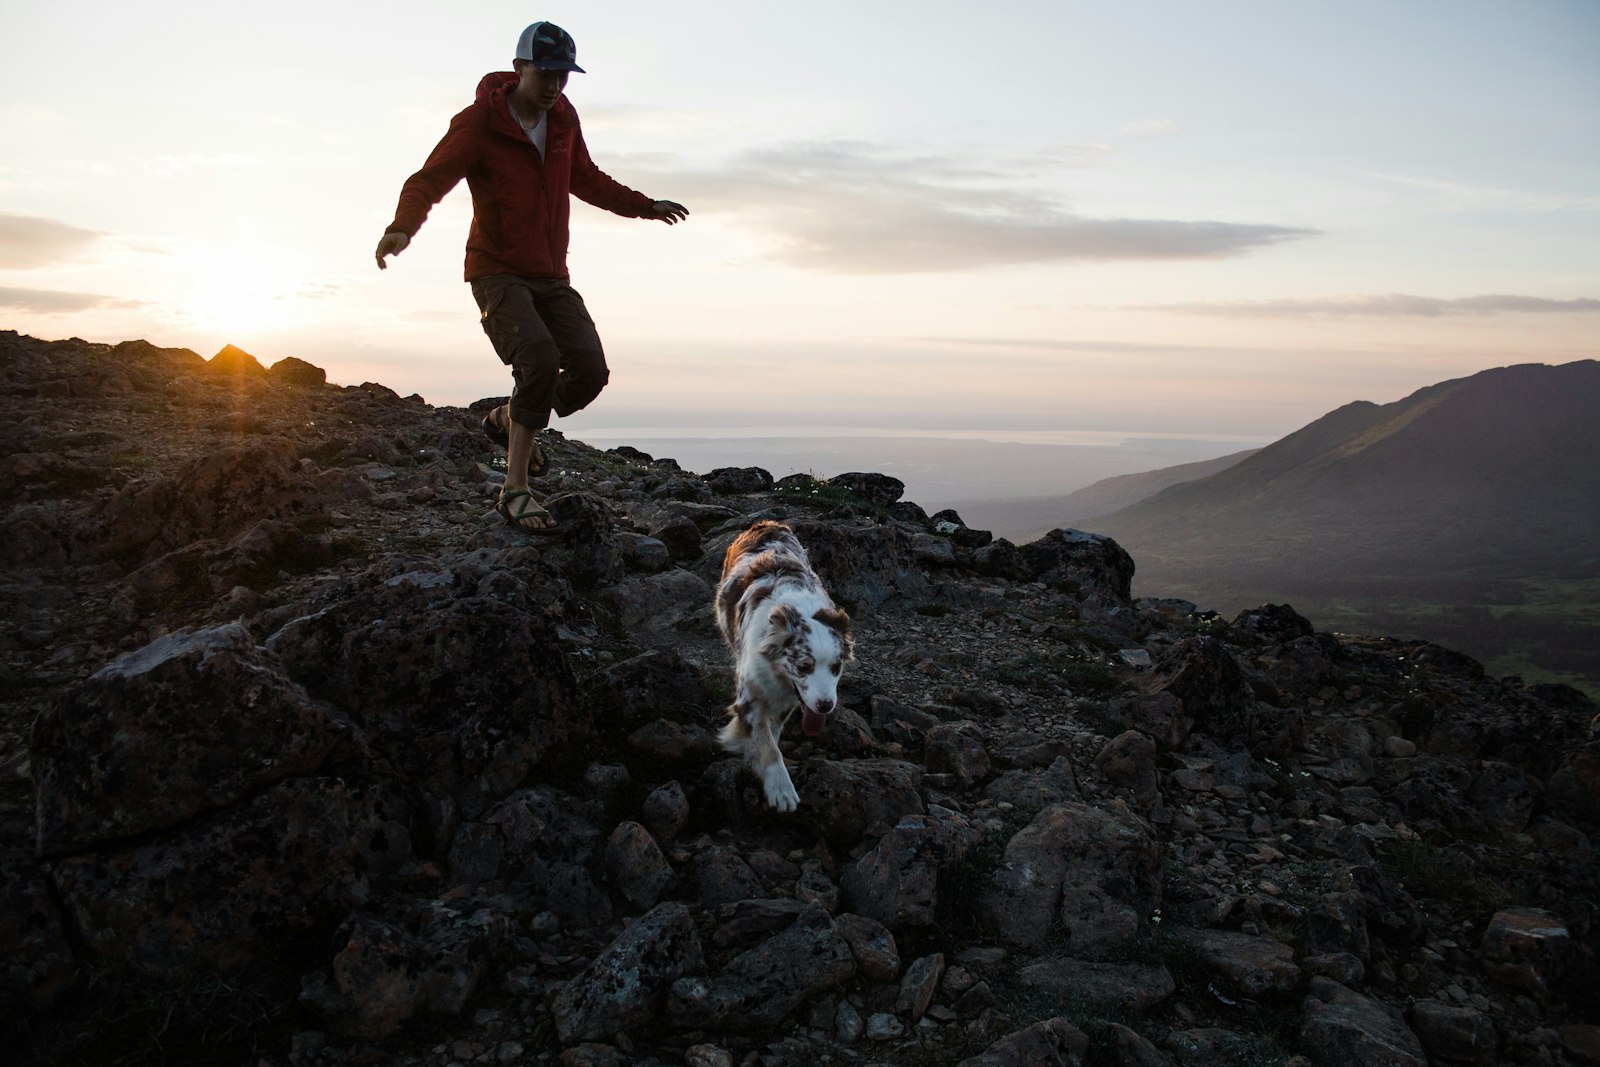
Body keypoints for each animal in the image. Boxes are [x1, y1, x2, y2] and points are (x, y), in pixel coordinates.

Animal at [716, 521, 857, 812]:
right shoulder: (750, 695)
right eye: (803, 667)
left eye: (836, 667)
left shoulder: (787, 698)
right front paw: (780, 789)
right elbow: (767, 744)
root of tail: (767, 524)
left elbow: (773, 733)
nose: (825, 706)